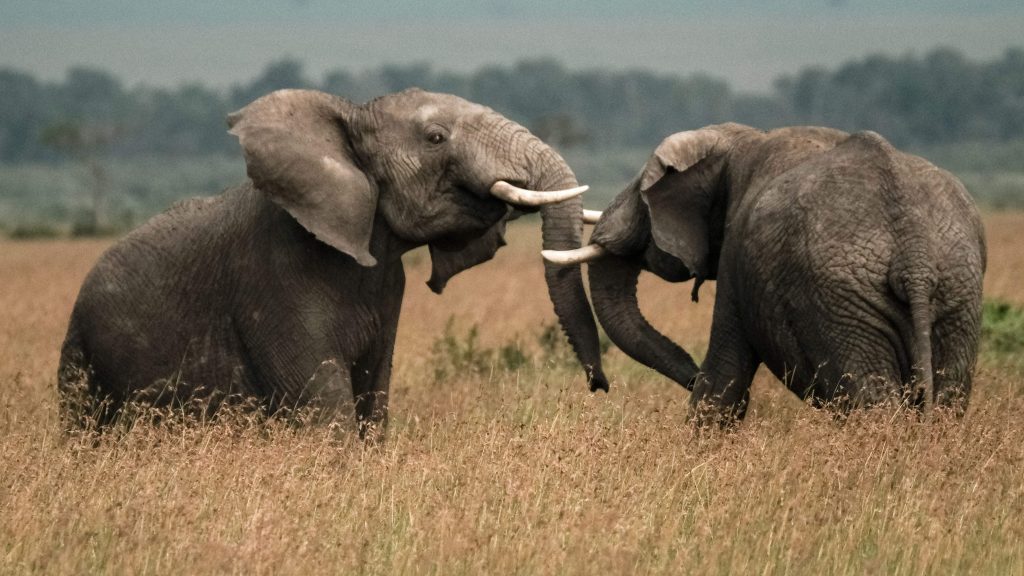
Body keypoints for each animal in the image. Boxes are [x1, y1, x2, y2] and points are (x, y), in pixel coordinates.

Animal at [58, 88, 608, 436]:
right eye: (435, 138)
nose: (599, 385)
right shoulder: (273, 282)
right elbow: (326, 416)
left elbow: (373, 401)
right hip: (81, 351)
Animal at [544, 123, 986, 421]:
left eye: (642, 194)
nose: (599, 386)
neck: (736, 137)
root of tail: (914, 256)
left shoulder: (736, 252)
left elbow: (723, 379)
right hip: (957, 294)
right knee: (948, 398)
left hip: (843, 303)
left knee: (871, 402)